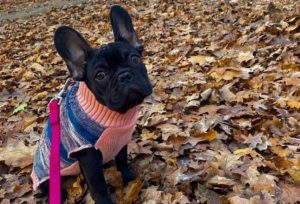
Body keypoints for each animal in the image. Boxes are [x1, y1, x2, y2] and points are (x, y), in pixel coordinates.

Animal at [31, 5, 152, 203]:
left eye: (135, 59)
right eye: (100, 75)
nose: (124, 75)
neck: (114, 114)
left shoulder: (120, 142)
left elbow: (122, 161)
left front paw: (128, 179)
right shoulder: (89, 158)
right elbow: (98, 185)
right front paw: (105, 201)